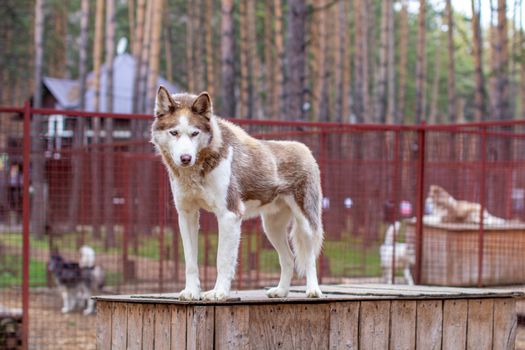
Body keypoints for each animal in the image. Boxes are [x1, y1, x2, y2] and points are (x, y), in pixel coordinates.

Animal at [149, 86, 324, 300]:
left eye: (194, 133)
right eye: (174, 132)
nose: (185, 158)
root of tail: (305, 149)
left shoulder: (229, 215)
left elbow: (222, 260)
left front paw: (219, 293)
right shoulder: (187, 215)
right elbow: (190, 262)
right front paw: (191, 292)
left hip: (305, 224)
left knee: (309, 258)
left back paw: (313, 290)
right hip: (271, 228)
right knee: (288, 258)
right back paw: (281, 291)